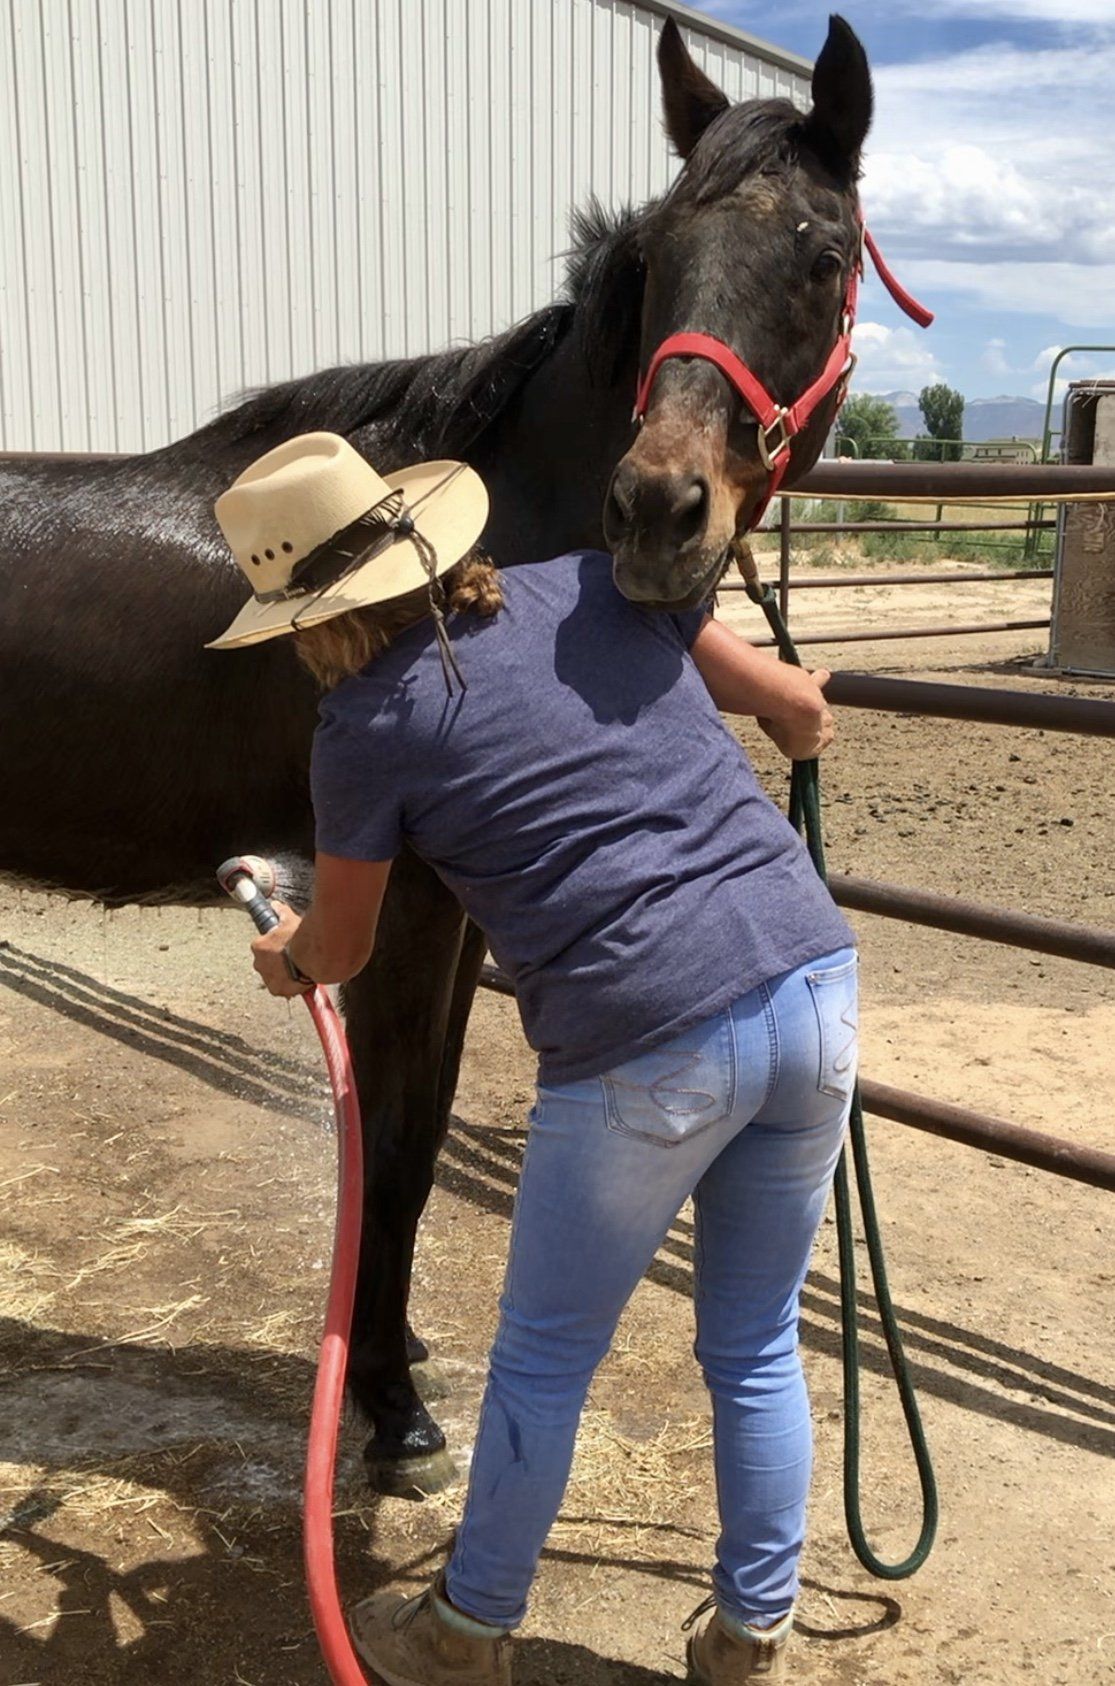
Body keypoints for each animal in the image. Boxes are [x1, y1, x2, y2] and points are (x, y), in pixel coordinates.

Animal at [0, 13, 870, 1490]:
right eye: (658, 259)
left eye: (822, 252)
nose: (657, 510)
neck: (463, 544)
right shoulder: (401, 904)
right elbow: (396, 1144)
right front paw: (392, 1412)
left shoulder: (460, 914)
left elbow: (421, 1117)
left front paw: (389, 1363)